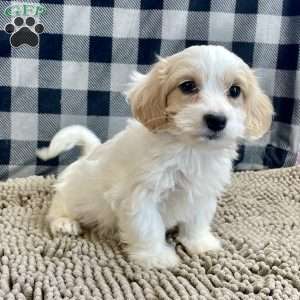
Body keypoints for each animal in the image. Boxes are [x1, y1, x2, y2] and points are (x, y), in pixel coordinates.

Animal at [38, 45, 274, 268]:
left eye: (235, 90)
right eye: (187, 86)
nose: (216, 120)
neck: (190, 149)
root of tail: (90, 152)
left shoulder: (202, 193)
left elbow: (197, 220)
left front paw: (199, 243)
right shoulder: (141, 196)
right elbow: (148, 227)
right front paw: (157, 257)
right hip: (71, 195)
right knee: (58, 207)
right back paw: (64, 223)